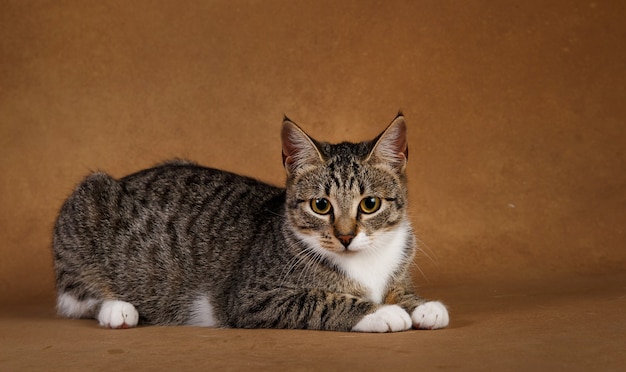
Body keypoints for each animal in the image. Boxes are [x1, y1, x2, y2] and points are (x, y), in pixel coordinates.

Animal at [51, 113, 446, 332]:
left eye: (370, 204)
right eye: (321, 206)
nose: (346, 236)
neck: (366, 264)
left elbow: (401, 291)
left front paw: (421, 305)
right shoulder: (251, 297)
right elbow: (323, 300)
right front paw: (382, 312)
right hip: (85, 205)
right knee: (78, 297)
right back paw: (116, 309)